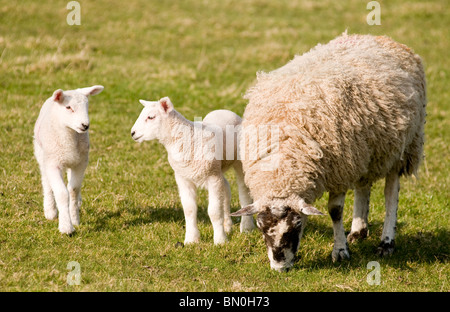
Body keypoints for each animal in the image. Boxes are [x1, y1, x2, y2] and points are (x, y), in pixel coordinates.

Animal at [33, 85, 104, 234]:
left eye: (87, 106)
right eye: (68, 107)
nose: (85, 125)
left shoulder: (80, 163)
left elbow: (73, 189)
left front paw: (74, 219)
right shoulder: (53, 164)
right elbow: (61, 193)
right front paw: (66, 227)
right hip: (41, 153)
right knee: (46, 181)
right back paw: (50, 210)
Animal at [132, 96, 255, 245]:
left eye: (150, 117)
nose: (132, 133)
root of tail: (225, 111)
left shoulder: (212, 177)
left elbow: (214, 211)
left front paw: (220, 240)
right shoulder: (183, 177)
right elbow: (189, 209)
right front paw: (191, 239)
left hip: (239, 161)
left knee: (243, 191)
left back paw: (247, 227)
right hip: (217, 168)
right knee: (226, 187)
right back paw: (227, 225)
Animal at [234, 33, 428, 270]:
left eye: (296, 225)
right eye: (261, 227)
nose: (280, 268)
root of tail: (380, 38)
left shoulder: (340, 170)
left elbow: (335, 211)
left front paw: (340, 251)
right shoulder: (349, 161)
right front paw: (347, 241)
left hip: (401, 147)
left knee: (391, 192)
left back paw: (386, 242)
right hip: (365, 150)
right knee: (363, 185)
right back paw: (358, 230)